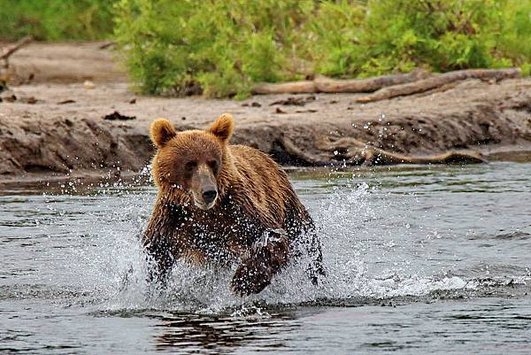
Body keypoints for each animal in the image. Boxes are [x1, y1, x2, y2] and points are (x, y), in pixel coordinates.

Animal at [142, 113, 324, 294]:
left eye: (213, 162)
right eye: (190, 164)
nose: (209, 192)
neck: (202, 212)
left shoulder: (238, 209)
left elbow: (272, 236)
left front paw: (243, 280)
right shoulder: (172, 217)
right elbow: (157, 253)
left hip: (287, 205)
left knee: (308, 245)